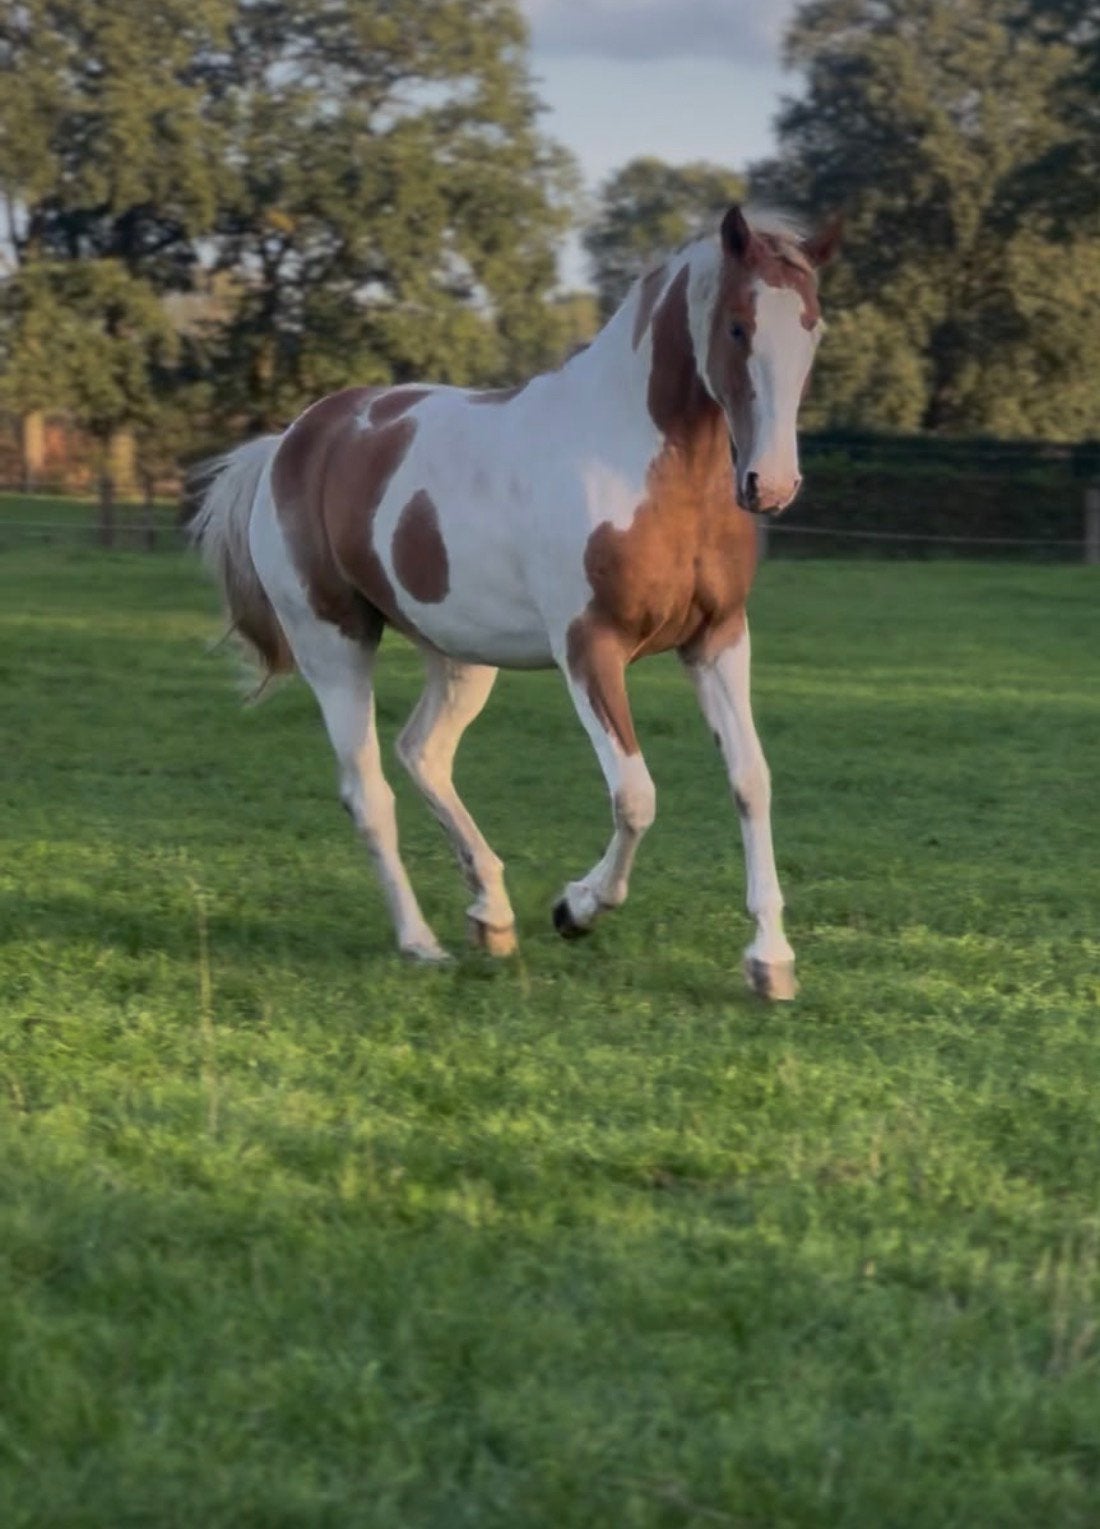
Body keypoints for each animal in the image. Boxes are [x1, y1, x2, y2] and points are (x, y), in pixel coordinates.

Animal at [190, 205, 838, 1000]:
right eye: (740, 326)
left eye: (811, 327)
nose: (770, 485)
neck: (637, 464)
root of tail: (291, 442)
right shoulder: (590, 648)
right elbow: (636, 795)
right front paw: (575, 909)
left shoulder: (717, 639)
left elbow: (751, 780)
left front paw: (770, 961)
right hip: (334, 645)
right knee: (369, 790)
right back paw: (421, 942)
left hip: (460, 655)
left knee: (423, 753)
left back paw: (491, 915)